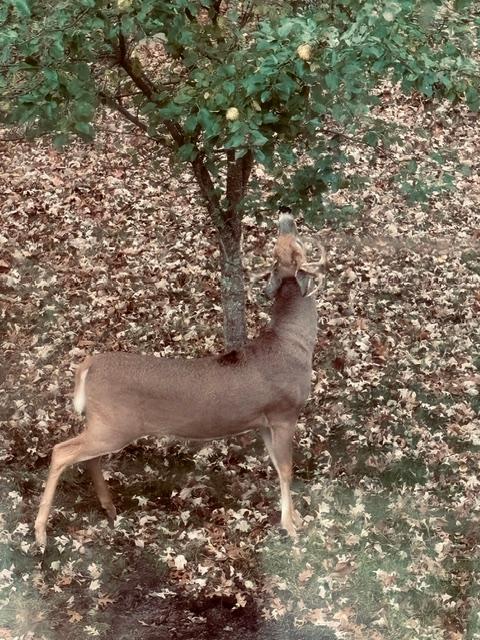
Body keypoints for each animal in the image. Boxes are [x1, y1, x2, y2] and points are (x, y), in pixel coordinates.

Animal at [34, 212, 323, 548]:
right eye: (297, 244)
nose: (286, 217)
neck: (292, 344)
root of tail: (89, 365)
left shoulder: (263, 421)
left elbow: (278, 467)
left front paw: (295, 518)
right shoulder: (284, 413)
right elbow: (287, 470)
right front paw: (290, 526)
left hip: (106, 425)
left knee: (87, 458)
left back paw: (109, 508)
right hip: (113, 424)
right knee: (61, 452)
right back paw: (41, 532)